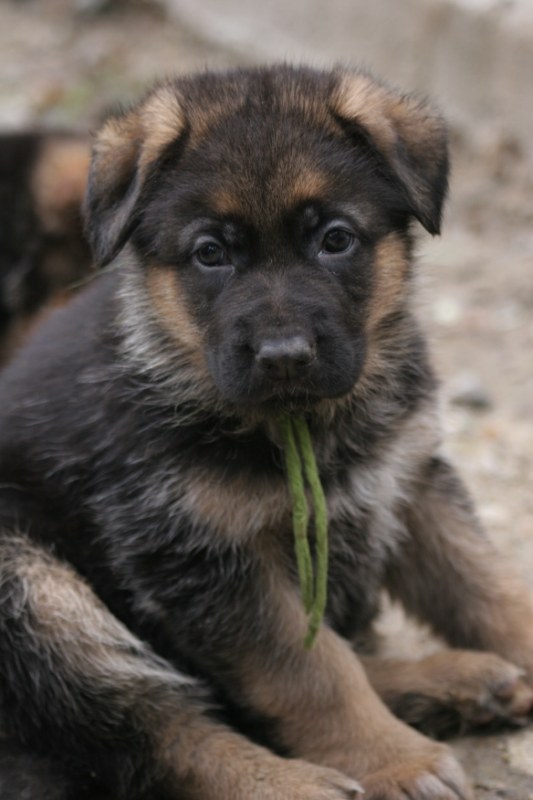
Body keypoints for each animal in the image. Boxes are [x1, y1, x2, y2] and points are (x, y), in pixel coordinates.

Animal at [0, 65, 532, 800]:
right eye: (210, 254)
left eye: (334, 239)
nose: (284, 356)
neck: (297, 425)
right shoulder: (206, 558)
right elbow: (308, 674)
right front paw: (392, 758)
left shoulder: (407, 479)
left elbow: (483, 584)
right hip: (30, 586)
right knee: (148, 727)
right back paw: (299, 781)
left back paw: (458, 681)